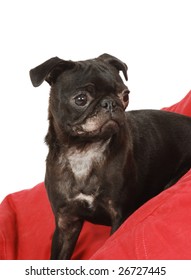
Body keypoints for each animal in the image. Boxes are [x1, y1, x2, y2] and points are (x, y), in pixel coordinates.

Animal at [29, 53, 191, 260]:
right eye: (81, 99)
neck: (83, 151)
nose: (110, 103)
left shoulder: (119, 214)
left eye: (125, 95)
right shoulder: (66, 222)